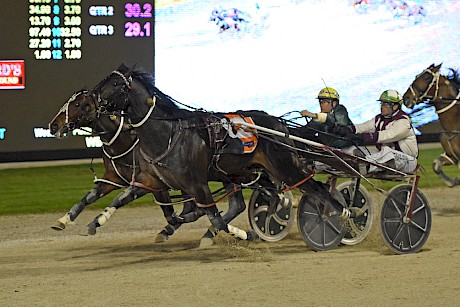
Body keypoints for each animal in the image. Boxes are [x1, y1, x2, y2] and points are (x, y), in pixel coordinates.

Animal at [92, 64, 344, 245]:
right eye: (104, 80)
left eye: (116, 84)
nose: (93, 99)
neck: (168, 133)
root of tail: (279, 123)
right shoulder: (153, 181)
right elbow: (130, 200)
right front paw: (97, 221)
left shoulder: (198, 185)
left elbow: (216, 218)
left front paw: (245, 234)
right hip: (246, 172)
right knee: (275, 194)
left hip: (285, 167)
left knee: (315, 188)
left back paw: (340, 214)